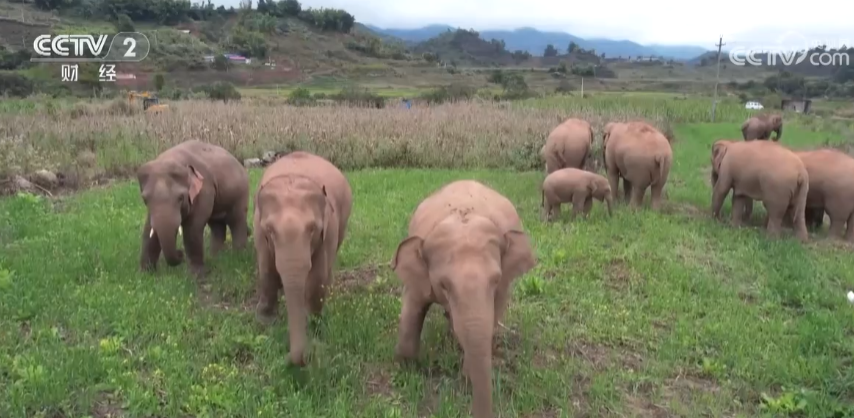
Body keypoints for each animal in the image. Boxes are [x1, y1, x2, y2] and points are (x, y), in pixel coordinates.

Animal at [138, 139, 251, 280]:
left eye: (181, 198)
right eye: (145, 199)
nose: (180, 253)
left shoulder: (205, 189)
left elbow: (193, 227)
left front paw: (196, 276)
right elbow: (148, 229)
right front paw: (145, 274)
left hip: (241, 194)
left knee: (237, 221)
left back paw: (238, 256)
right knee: (217, 225)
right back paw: (216, 257)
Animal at [252, 150, 352, 366]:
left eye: (313, 229)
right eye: (270, 230)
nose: (289, 358)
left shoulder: (328, 231)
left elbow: (317, 278)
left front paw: (314, 325)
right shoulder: (258, 228)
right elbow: (267, 268)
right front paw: (265, 320)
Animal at [392, 180, 540, 418]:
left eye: (495, 279)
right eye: (444, 284)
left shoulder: (502, 286)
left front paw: (468, 377)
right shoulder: (419, 278)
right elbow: (412, 308)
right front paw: (405, 369)